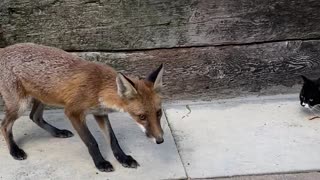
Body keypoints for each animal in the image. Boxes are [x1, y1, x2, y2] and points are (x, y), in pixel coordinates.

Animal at [0, 43, 164, 172]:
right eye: (141, 116)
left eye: (159, 113)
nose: (160, 140)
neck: (99, 87)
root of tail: (3, 50)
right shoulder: (73, 112)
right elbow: (92, 142)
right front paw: (101, 162)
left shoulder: (100, 113)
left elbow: (113, 140)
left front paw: (123, 158)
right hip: (21, 105)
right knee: (4, 125)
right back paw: (14, 150)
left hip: (43, 98)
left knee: (35, 117)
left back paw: (58, 132)